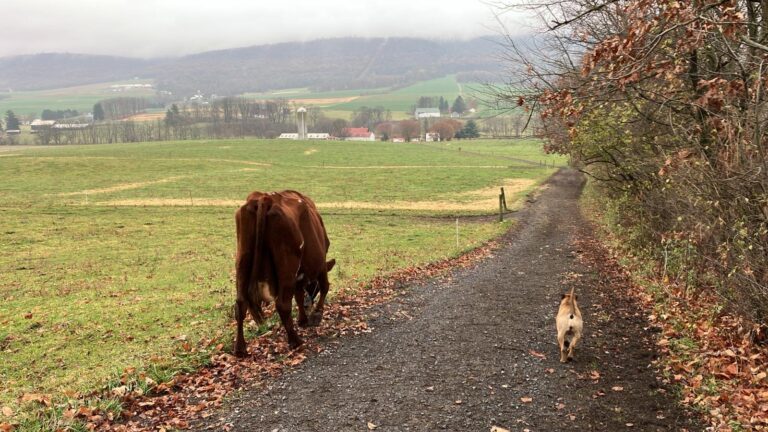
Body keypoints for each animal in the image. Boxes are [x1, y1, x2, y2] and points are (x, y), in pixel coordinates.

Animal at [231, 191, 332, 356]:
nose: (309, 304)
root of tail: (265, 198)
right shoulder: (321, 262)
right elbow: (324, 286)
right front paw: (316, 314)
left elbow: (299, 295)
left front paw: (303, 319)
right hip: (286, 264)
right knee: (283, 305)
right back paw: (295, 341)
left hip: (242, 259)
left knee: (241, 304)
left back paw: (240, 348)